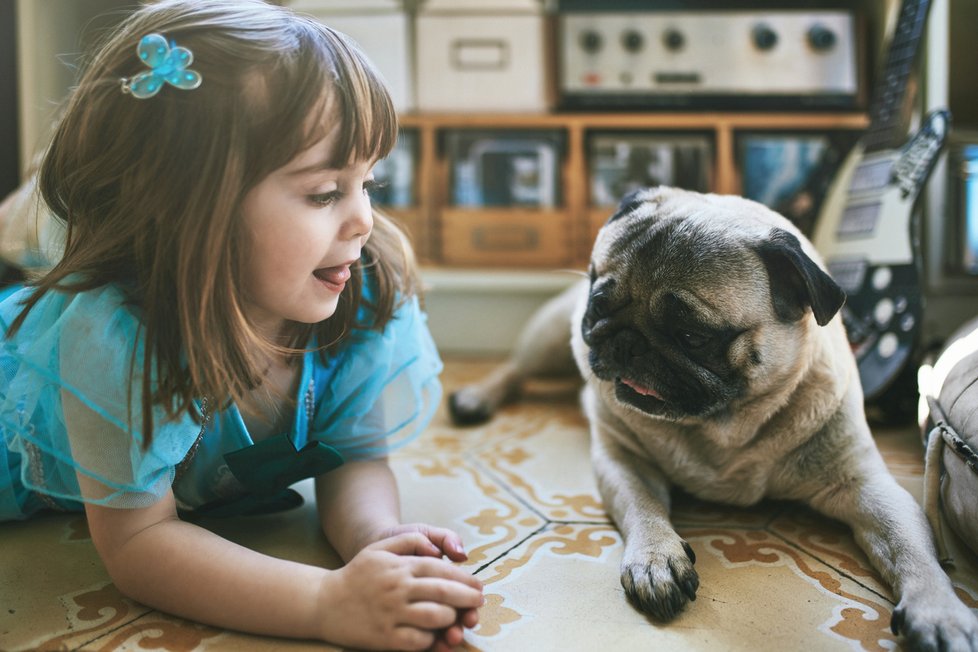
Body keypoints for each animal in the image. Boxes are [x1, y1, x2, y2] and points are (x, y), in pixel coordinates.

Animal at [450, 186, 976, 648]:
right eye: (599, 307)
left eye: (692, 336)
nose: (627, 341)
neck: (722, 427)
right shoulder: (623, 459)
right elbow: (643, 507)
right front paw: (656, 559)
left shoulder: (866, 485)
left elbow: (914, 551)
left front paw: (940, 609)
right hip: (549, 338)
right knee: (516, 368)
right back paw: (476, 397)